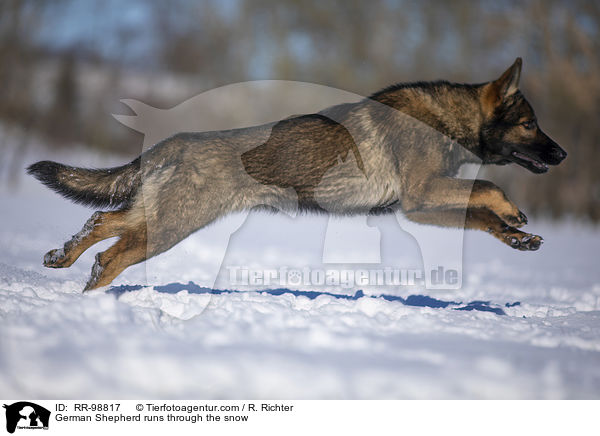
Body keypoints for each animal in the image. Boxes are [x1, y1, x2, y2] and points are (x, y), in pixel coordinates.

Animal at [28, 57, 564, 290]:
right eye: (530, 124)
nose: (561, 154)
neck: (445, 120)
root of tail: (171, 141)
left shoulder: (424, 206)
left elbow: (483, 216)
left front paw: (517, 236)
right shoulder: (422, 197)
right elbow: (490, 186)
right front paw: (514, 213)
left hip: (159, 216)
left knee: (102, 223)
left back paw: (63, 259)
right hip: (172, 225)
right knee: (112, 253)